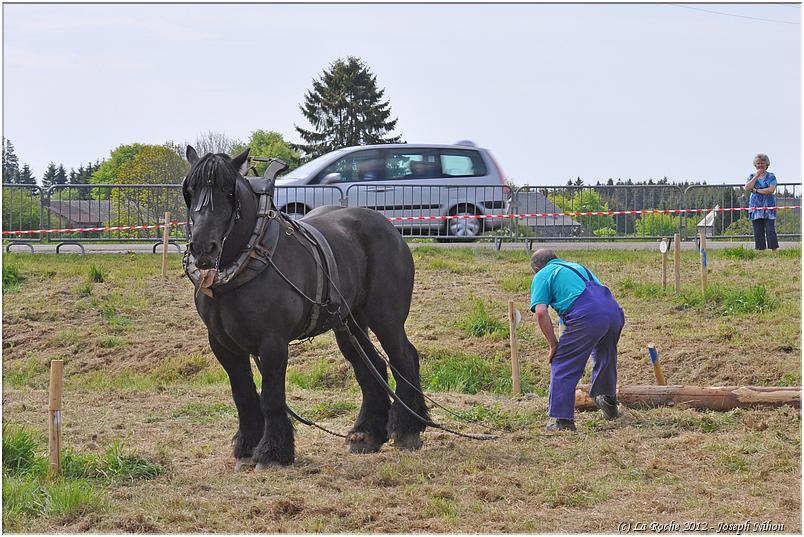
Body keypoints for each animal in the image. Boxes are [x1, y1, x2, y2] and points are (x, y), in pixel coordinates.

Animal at [180, 144, 430, 466]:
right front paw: (247, 446)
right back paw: (366, 433)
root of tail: (389, 228)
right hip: (349, 323)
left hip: (385, 317)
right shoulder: (222, 344)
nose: (202, 248)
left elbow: (272, 398)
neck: (247, 261)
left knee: (403, 358)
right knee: (370, 366)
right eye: (190, 191)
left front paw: (272, 451)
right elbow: (243, 395)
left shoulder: (273, 343)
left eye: (228, 190)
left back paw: (408, 428)